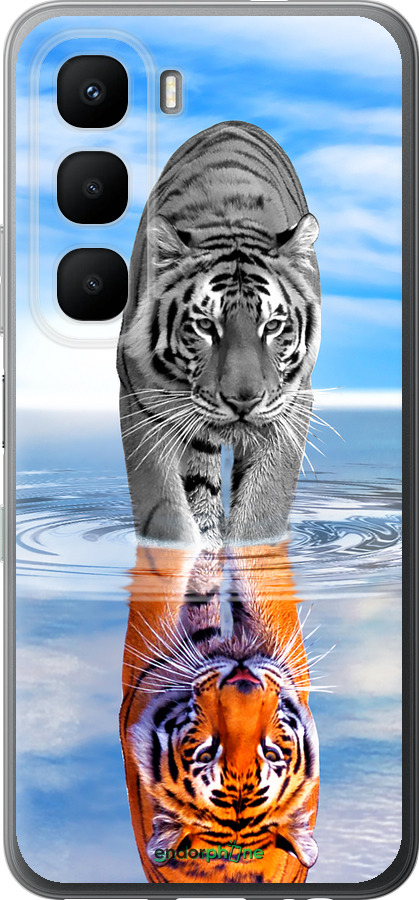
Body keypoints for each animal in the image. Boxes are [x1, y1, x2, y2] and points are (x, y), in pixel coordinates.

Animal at [117, 121, 321, 548]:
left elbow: (263, 508)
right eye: (206, 326)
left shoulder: (292, 404)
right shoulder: (141, 401)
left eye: (272, 326)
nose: (243, 401)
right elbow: (165, 511)